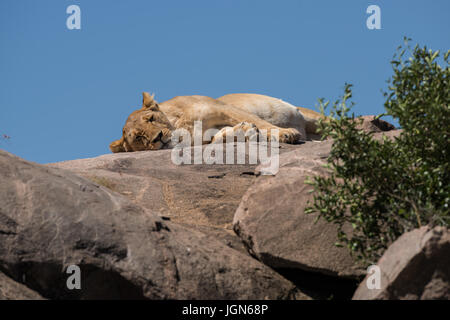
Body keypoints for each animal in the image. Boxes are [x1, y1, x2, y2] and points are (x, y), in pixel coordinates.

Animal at [110, 92, 326, 152]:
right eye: (139, 137)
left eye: (151, 118)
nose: (158, 137)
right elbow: (219, 139)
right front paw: (244, 131)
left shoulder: (222, 108)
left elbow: (259, 121)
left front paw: (286, 134)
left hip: (313, 118)